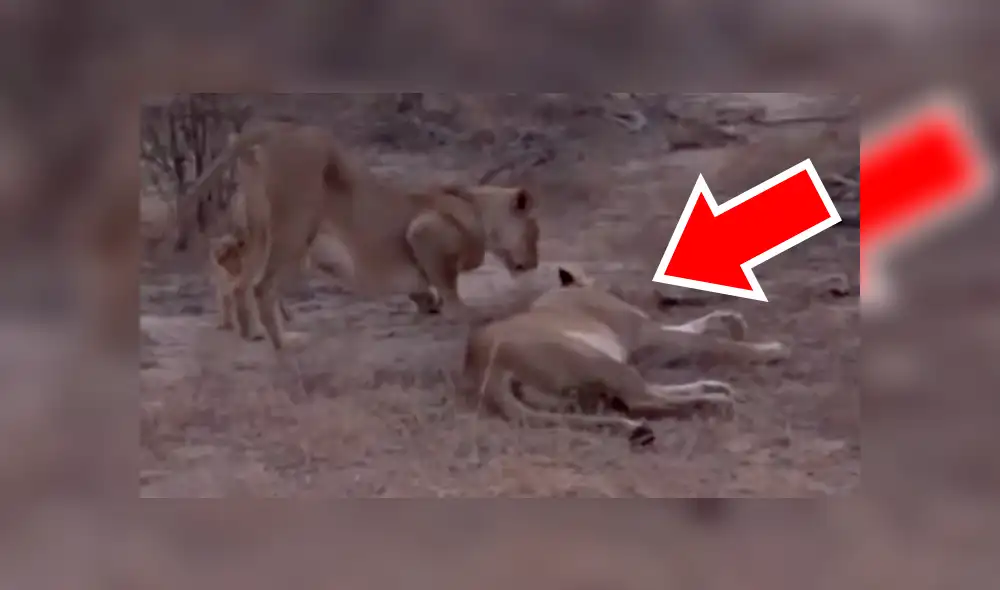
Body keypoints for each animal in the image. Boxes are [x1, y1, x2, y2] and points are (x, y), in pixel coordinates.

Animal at [178, 118, 541, 350]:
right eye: (534, 234)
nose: (535, 264)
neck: (477, 207)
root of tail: (274, 128)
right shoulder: (423, 229)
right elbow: (450, 289)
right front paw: (468, 313)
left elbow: (426, 289)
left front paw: (428, 303)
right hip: (297, 226)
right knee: (261, 287)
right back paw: (286, 343)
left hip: (260, 230)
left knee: (241, 284)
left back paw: (251, 334)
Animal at [460, 266, 791, 448]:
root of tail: (482, 374)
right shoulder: (646, 334)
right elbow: (709, 341)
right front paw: (769, 350)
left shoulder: (646, 336)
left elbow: (695, 326)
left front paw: (733, 320)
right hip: (593, 358)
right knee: (642, 400)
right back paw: (712, 400)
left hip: (601, 372)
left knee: (645, 394)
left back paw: (711, 388)